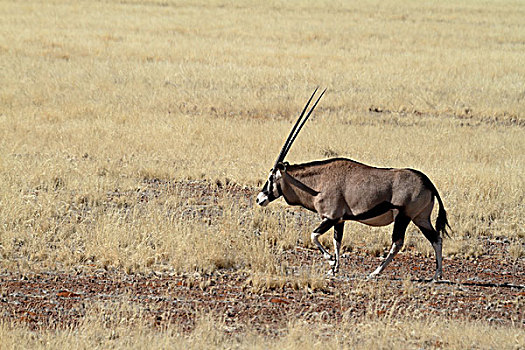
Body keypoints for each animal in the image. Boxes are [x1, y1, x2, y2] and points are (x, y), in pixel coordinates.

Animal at [256, 89, 448, 280]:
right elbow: (337, 241)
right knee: (436, 239)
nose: (259, 199)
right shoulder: (340, 220)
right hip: (420, 218)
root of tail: (428, 183)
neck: (318, 183)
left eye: (271, 177)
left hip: (404, 217)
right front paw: (334, 268)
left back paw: (376, 272)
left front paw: (331, 261)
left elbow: (314, 236)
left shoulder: (330, 217)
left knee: (397, 243)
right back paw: (436, 274)